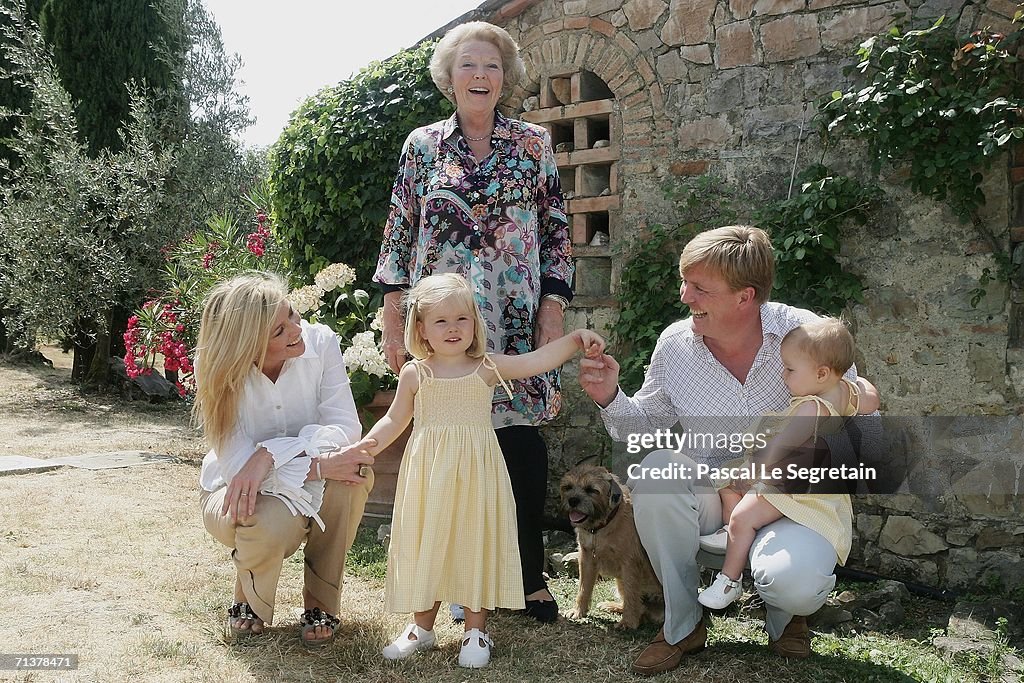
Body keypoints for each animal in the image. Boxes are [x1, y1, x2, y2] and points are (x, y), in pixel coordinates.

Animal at [561, 464, 663, 630]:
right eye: (568, 487)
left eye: (591, 489)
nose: (573, 500)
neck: (601, 528)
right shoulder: (586, 558)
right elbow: (584, 587)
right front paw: (578, 611)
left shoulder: (630, 563)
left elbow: (631, 592)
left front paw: (628, 622)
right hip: (619, 581)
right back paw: (613, 606)